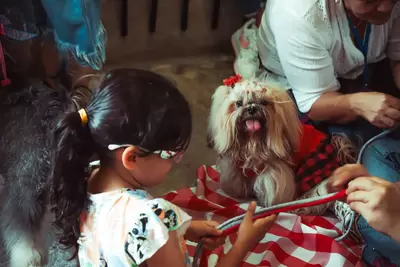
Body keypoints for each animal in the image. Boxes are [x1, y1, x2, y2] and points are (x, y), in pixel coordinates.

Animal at [208, 76, 352, 215]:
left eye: (264, 102)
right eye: (238, 103)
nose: (252, 108)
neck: (253, 143)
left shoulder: (274, 174)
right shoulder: (235, 167)